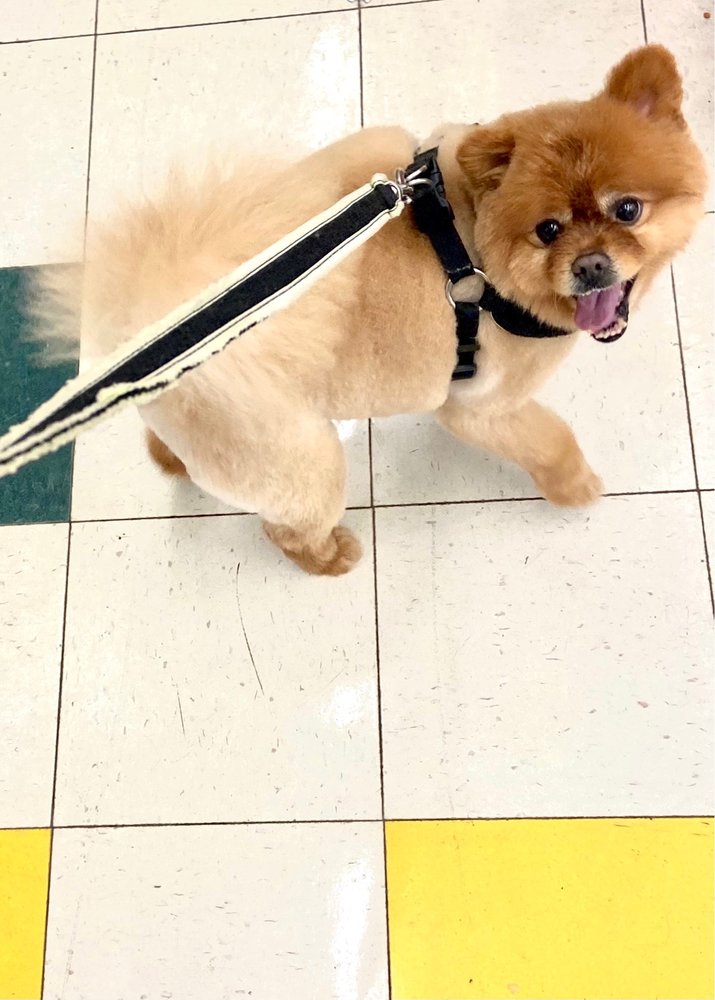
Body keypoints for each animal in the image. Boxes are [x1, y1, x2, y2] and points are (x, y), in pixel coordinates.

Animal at [37, 44, 707, 575]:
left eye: (627, 210)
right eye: (548, 230)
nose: (591, 265)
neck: (473, 243)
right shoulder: (478, 407)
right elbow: (550, 439)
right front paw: (576, 487)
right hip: (303, 463)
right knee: (285, 528)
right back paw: (332, 557)